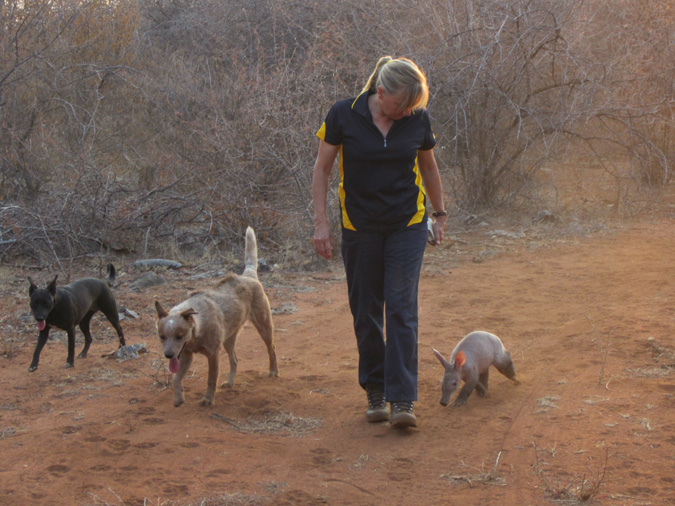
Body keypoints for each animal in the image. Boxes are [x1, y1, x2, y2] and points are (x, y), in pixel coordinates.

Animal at [155, 226, 278, 408]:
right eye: (162, 337)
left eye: (179, 336)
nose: (168, 355)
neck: (197, 329)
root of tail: (247, 275)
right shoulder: (186, 355)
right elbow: (176, 378)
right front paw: (178, 398)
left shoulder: (213, 355)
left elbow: (211, 380)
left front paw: (207, 399)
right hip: (228, 340)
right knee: (235, 361)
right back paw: (230, 382)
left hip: (264, 328)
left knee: (272, 349)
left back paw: (273, 371)